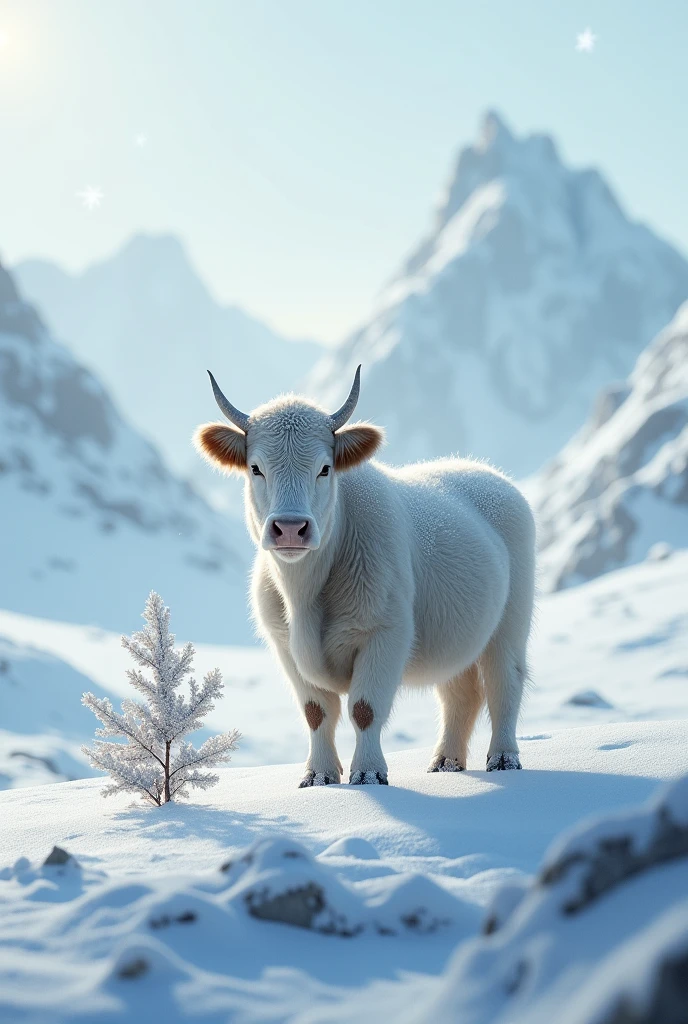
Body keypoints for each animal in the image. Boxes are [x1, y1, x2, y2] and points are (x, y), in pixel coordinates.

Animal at [194, 366, 536, 782]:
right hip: (456, 636)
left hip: (510, 622)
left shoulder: (384, 634)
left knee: (505, 683)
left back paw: (503, 759)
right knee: (461, 694)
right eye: (255, 467)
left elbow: (364, 709)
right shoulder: (284, 646)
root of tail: (488, 474)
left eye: (325, 468)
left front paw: (369, 774)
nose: (290, 529)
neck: (305, 595)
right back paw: (445, 763)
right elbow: (316, 713)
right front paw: (319, 776)